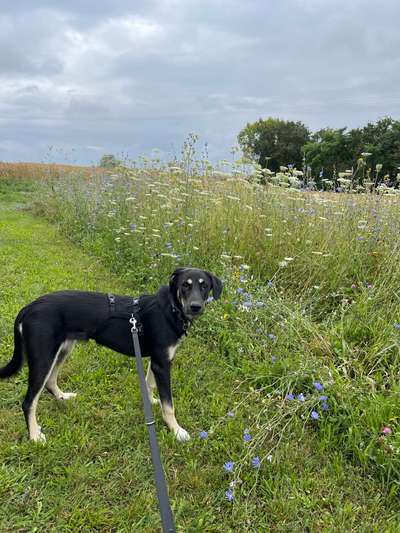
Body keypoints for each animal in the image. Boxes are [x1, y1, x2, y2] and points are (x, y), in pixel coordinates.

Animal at [0, 268, 222, 442]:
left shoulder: (156, 360)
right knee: (29, 401)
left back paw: (62, 397)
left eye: (204, 286)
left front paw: (151, 402)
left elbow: (149, 384)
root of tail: (28, 307)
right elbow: (169, 405)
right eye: (185, 285)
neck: (171, 309)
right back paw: (34, 436)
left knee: (50, 381)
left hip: (62, 350)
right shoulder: (162, 363)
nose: (195, 306)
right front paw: (176, 430)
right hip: (43, 357)